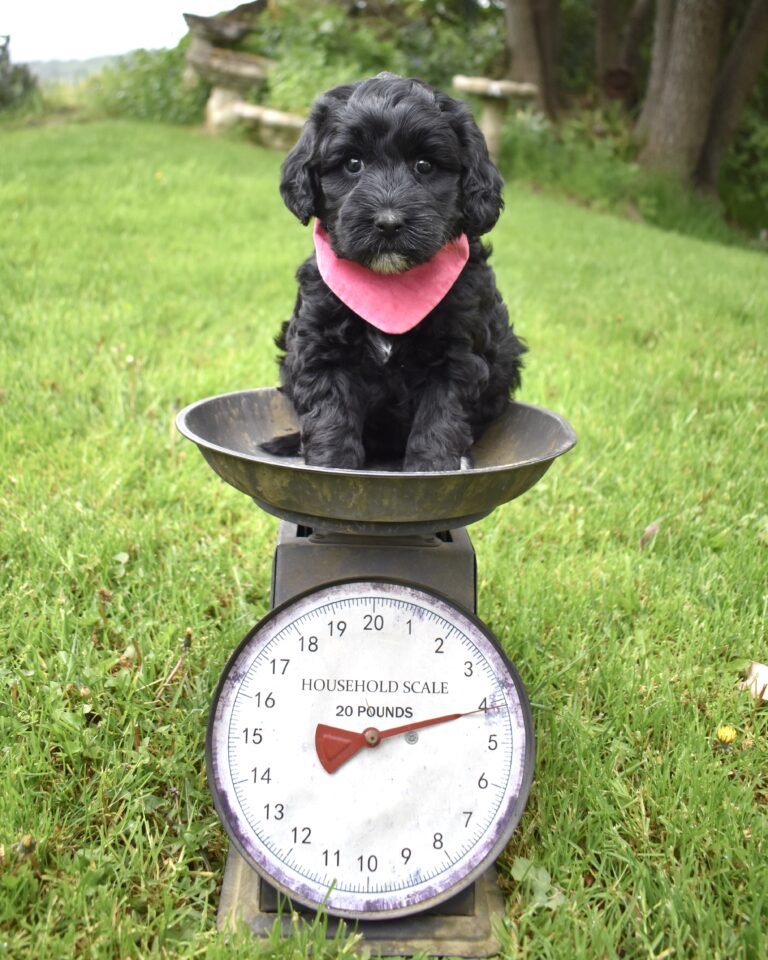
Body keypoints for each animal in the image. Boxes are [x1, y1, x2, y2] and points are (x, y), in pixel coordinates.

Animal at [262, 73, 520, 470]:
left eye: (424, 166)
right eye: (353, 163)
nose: (388, 223)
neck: (389, 286)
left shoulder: (458, 354)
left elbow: (440, 418)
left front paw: (431, 468)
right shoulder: (320, 345)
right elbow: (331, 414)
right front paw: (332, 465)